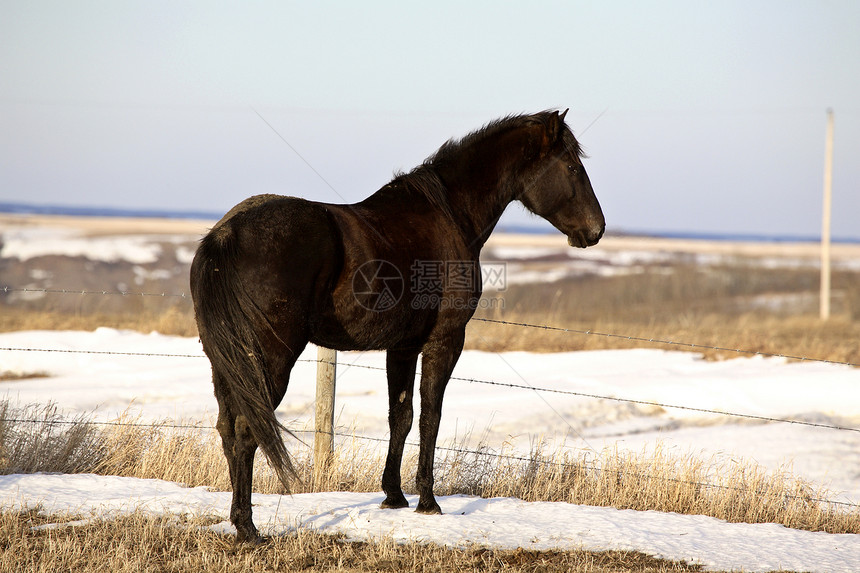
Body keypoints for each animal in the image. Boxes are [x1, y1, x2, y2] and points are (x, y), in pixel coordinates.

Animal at [188, 108, 604, 540]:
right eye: (572, 167)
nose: (596, 229)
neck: (448, 215)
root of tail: (227, 233)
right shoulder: (445, 340)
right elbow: (430, 417)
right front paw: (428, 501)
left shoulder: (402, 346)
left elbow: (400, 417)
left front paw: (393, 495)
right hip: (269, 361)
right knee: (246, 430)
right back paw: (247, 527)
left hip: (227, 363)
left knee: (227, 429)